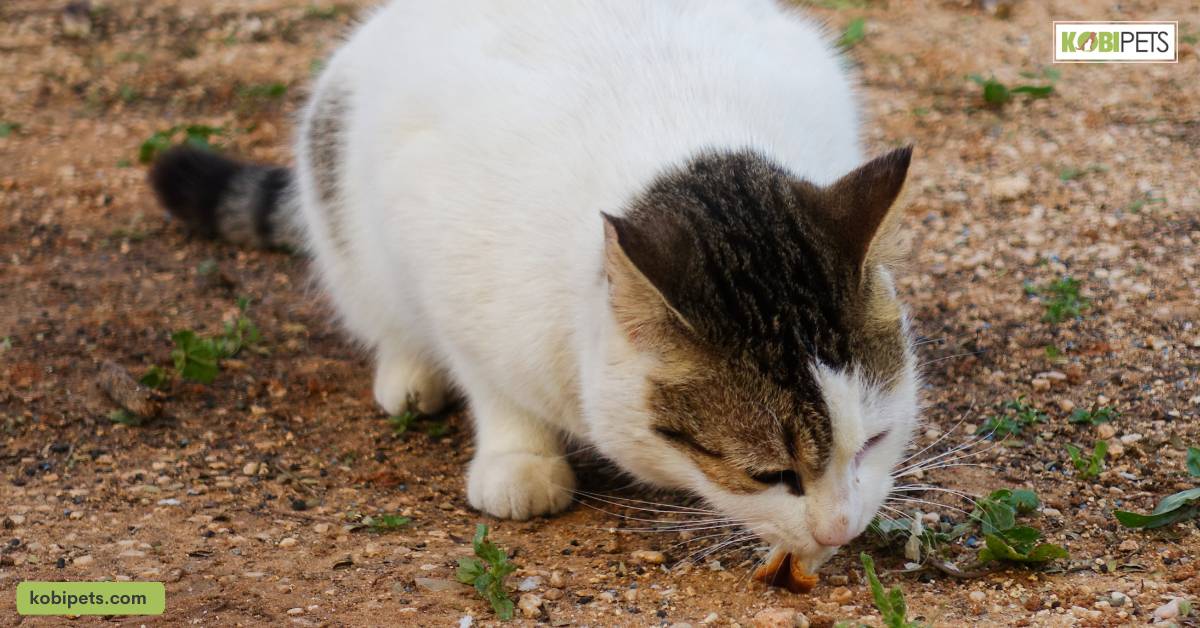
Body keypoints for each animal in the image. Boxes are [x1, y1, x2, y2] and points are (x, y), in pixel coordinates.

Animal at [150, 0, 916, 573]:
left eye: (874, 440)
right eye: (769, 475)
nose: (840, 530)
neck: (676, 141)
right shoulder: (442, 262)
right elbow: (491, 383)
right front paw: (518, 457)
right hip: (342, 204)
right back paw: (407, 375)